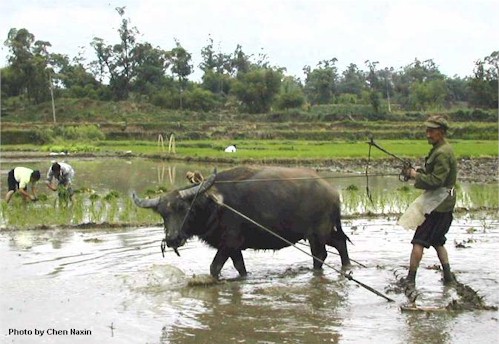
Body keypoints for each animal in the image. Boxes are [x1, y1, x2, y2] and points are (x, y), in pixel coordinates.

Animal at [133, 165, 352, 278]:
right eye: (163, 214)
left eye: (184, 208)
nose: (172, 239)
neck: (215, 204)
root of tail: (332, 192)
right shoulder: (233, 247)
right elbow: (240, 268)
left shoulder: (229, 243)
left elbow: (214, 268)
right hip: (321, 232)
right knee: (340, 242)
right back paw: (347, 267)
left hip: (317, 234)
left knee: (320, 255)